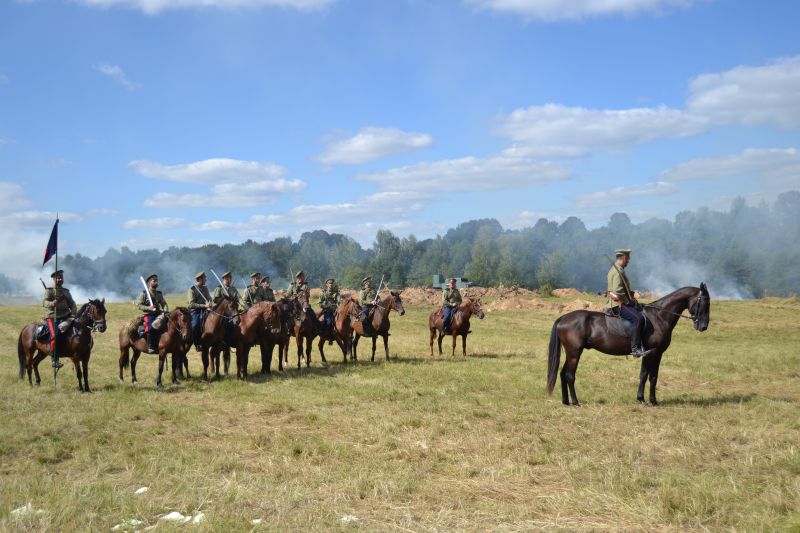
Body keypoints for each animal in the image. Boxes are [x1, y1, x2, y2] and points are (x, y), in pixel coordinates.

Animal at [544, 284, 712, 406]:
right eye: (704, 302)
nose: (703, 327)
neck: (659, 317)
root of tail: (564, 318)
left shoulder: (657, 354)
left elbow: (651, 376)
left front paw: (649, 400)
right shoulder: (652, 353)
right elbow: (647, 375)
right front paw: (645, 400)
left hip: (571, 353)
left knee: (563, 374)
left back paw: (566, 402)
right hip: (574, 353)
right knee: (570, 376)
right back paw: (575, 402)